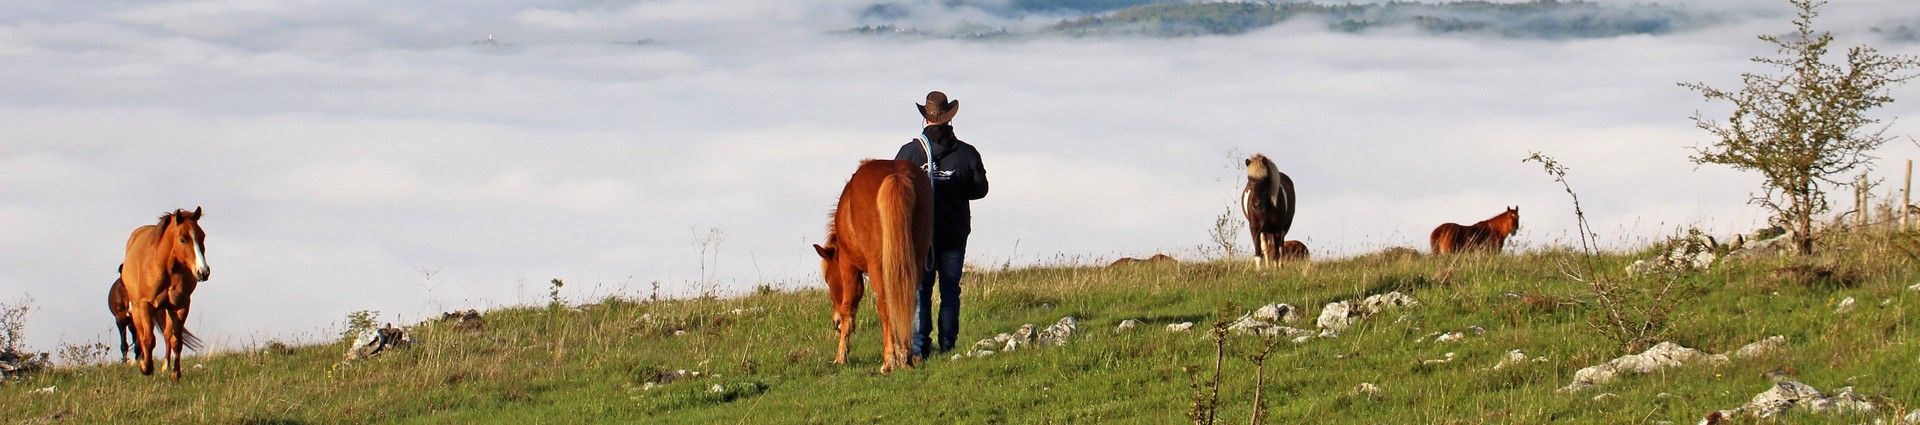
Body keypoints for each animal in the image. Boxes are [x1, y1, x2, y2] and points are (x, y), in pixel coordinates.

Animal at [120, 207, 212, 380]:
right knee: (141, 334)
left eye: (202, 236)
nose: (203, 271)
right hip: (136, 308)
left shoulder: (181, 306)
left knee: (168, 335)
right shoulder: (145, 305)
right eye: (182, 239)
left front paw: (176, 374)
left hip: (168, 309)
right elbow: (148, 339)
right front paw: (146, 367)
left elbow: (177, 341)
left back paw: (166, 366)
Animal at [810, 159, 929, 371]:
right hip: (916, 260)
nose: (834, 322)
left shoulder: (849, 267)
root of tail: (896, 176)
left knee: (884, 305)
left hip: (877, 267)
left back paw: (888, 361)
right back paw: (905, 357)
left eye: (828, 280)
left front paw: (841, 356)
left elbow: (849, 308)